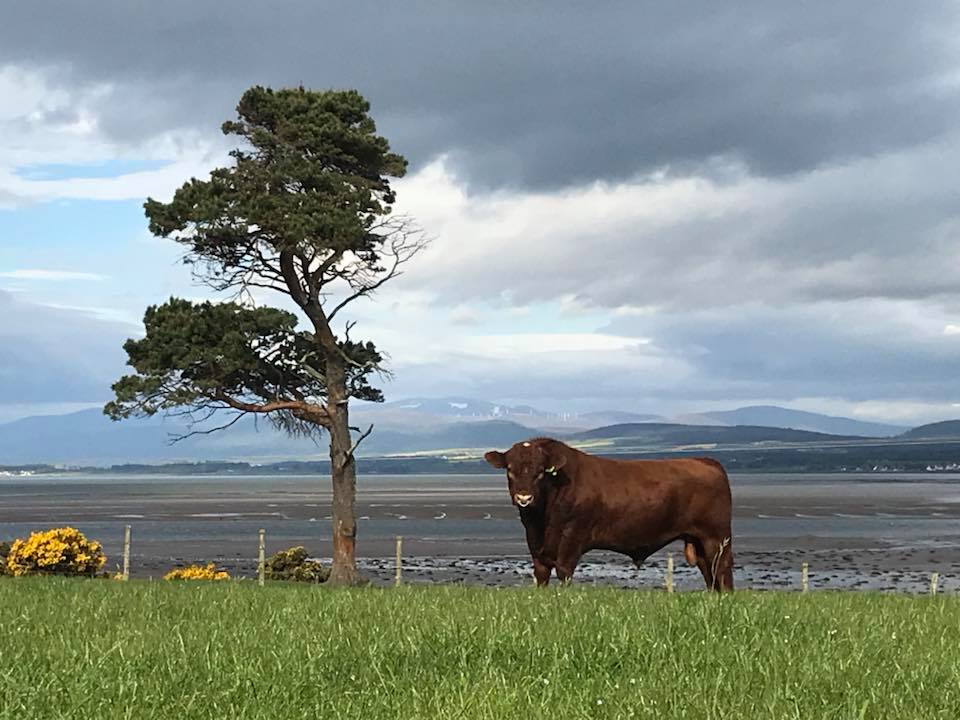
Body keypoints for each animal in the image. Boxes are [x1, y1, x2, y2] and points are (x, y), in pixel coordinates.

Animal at [488, 438, 736, 592]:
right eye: (509, 470)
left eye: (540, 472)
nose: (524, 497)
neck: (542, 521)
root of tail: (706, 461)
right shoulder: (536, 544)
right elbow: (541, 573)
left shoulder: (572, 537)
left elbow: (564, 570)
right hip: (699, 540)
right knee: (708, 570)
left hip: (716, 537)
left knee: (722, 568)